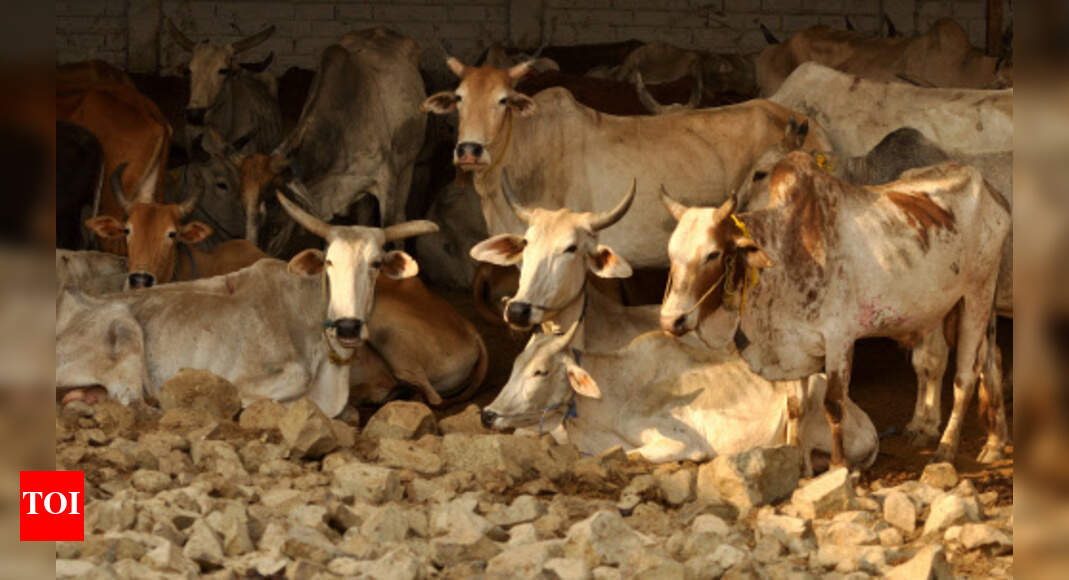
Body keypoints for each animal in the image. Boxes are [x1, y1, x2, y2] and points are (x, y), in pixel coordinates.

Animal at [481, 320, 878, 470]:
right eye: (516, 364)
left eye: (541, 371)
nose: (487, 414)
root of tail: (870, 428)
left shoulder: (681, 441)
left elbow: (627, 454)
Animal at [660, 152, 1011, 467]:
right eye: (671, 253)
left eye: (713, 254)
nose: (671, 319)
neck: (786, 250)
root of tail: (991, 190)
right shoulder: (793, 348)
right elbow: (796, 408)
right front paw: (800, 469)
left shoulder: (839, 340)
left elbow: (834, 405)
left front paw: (838, 467)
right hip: (942, 305)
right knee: (968, 360)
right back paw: (981, 440)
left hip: (978, 293)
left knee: (966, 374)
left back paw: (946, 449)